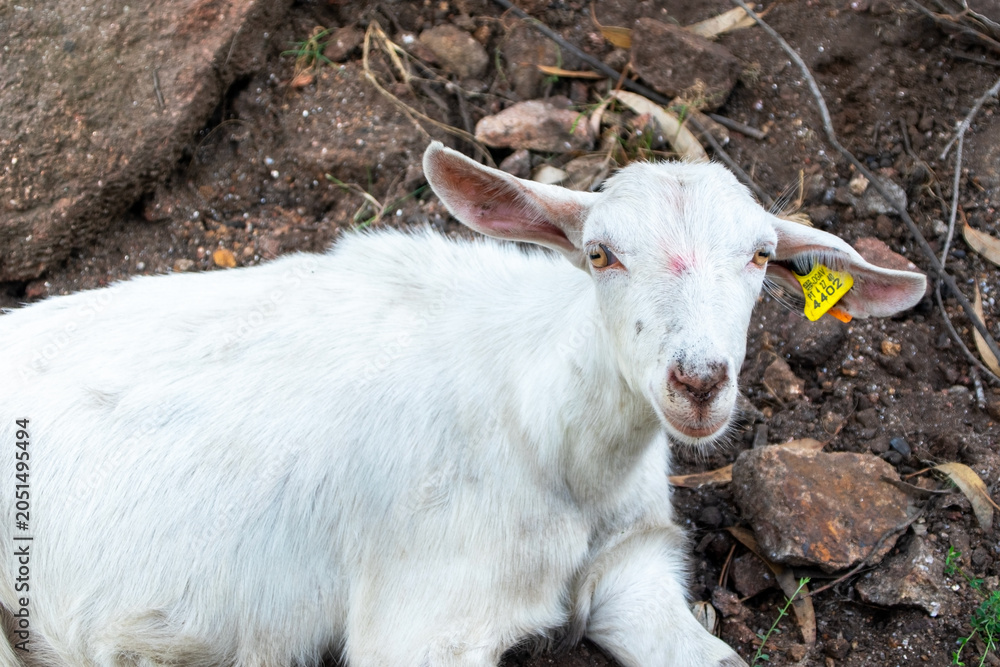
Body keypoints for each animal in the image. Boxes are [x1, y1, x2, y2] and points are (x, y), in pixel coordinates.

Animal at [0, 142, 926, 667]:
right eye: (600, 253)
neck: (547, 435)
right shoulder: (426, 619)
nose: (698, 382)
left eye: (763, 256)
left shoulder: (630, 565)